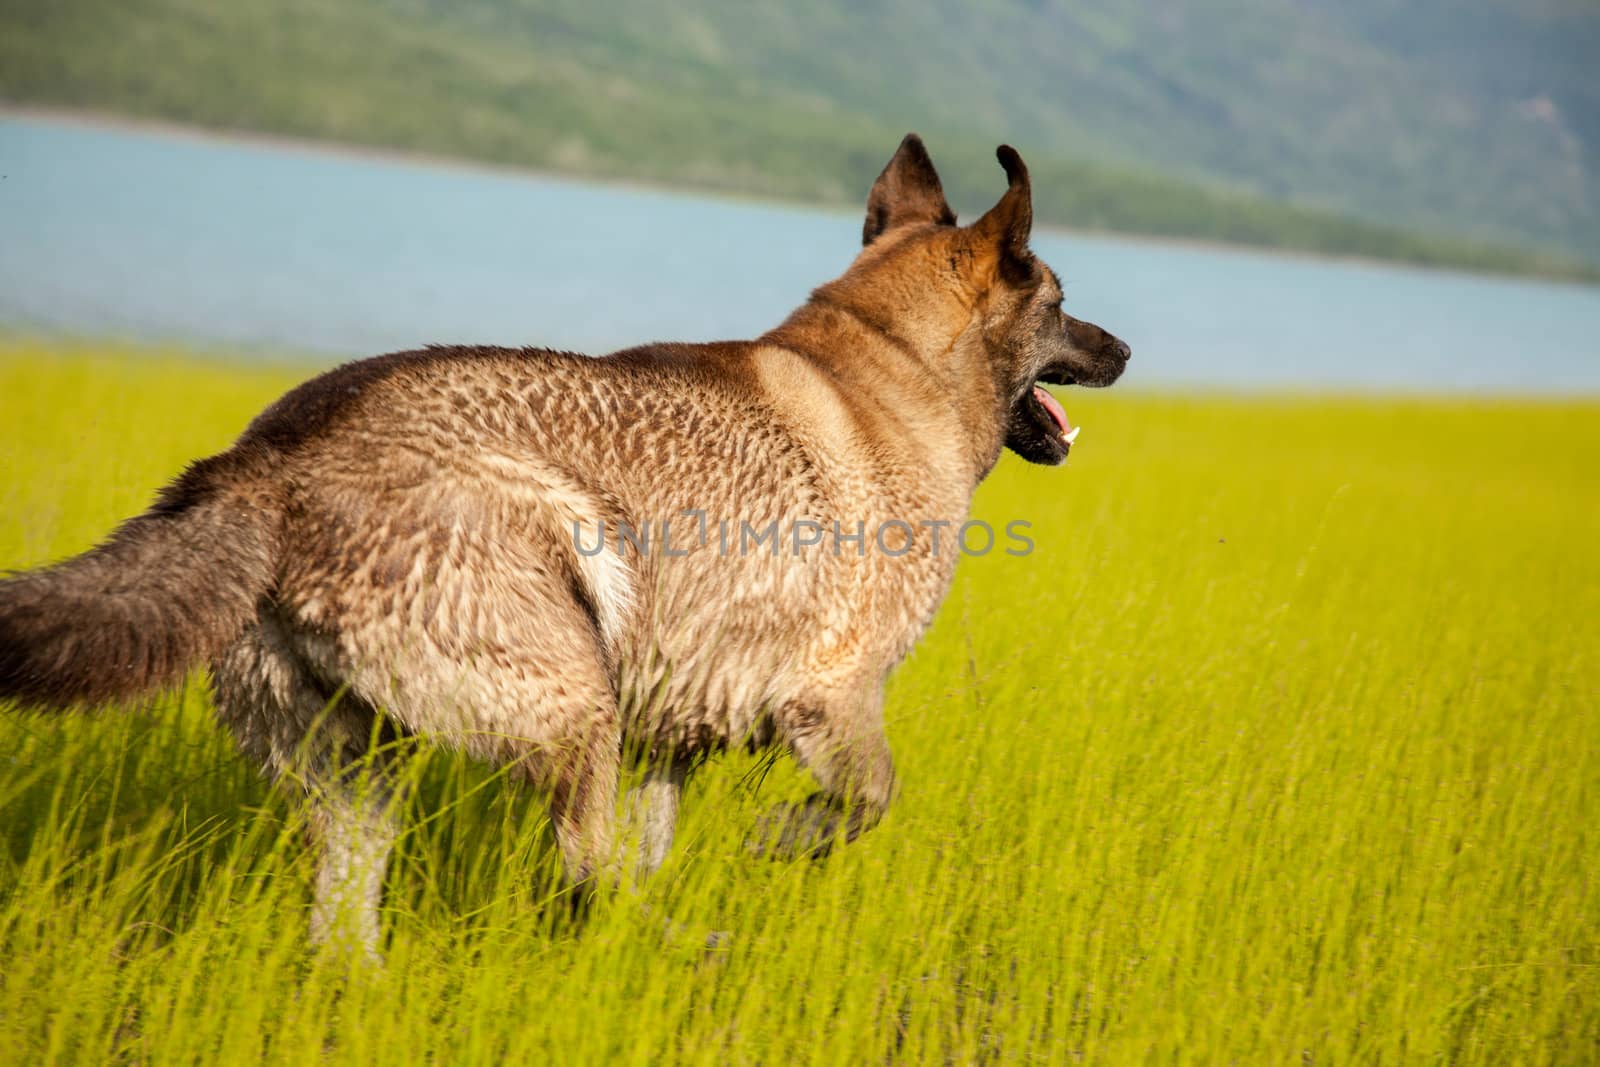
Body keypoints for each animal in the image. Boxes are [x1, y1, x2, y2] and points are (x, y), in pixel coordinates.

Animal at [0, 133, 1132, 953]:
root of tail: (267, 463)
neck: (893, 360)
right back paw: (679, 943)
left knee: (354, 921)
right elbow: (867, 800)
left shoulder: (668, 738)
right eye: (1063, 303)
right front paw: (781, 841)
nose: (1126, 348)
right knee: (581, 872)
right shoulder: (833, 698)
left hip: (360, 773)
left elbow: (652, 842)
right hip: (572, 688)